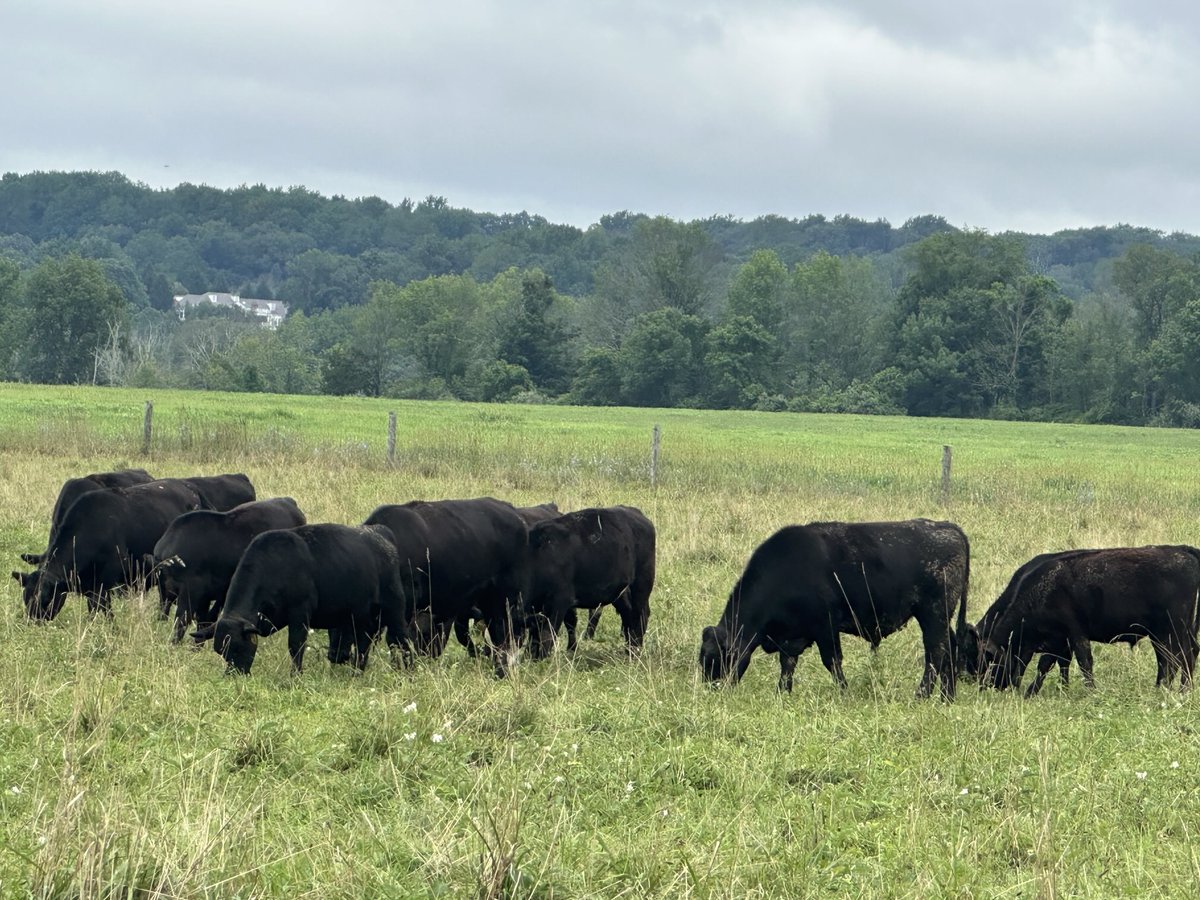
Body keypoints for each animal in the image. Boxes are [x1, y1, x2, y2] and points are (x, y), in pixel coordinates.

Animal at [11, 479, 208, 620]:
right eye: (25, 598)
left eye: (45, 599)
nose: (33, 621)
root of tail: (188, 487)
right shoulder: (90, 586)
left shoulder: (105, 582)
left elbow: (103, 609)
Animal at [192, 523, 411, 675]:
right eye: (221, 652)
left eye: (237, 648)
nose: (233, 675)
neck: (275, 566)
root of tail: (381, 535)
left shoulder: (300, 613)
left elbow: (296, 646)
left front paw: (295, 676)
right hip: (361, 618)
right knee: (364, 646)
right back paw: (357, 674)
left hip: (394, 609)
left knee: (401, 641)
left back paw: (409, 673)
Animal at [524, 506, 655, 660]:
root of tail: (636, 513)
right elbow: (535, 634)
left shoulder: (559, 602)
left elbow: (547, 633)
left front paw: (541, 658)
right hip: (620, 591)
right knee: (628, 614)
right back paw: (628, 650)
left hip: (641, 585)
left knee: (639, 616)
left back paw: (634, 652)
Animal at [699, 519, 970, 700]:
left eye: (716, 658)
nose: (711, 690)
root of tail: (946, 526)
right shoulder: (792, 637)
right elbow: (787, 665)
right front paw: (782, 693)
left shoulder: (826, 627)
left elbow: (832, 662)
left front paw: (844, 693)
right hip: (940, 618)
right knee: (949, 648)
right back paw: (947, 698)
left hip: (933, 614)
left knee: (936, 653)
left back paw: (922, 695)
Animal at [966, 545, 1200, 694]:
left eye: (987, 660)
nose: (985, 686)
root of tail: (1184, 552)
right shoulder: (1057, 640)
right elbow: (1048, 664)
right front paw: (1039, 691)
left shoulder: (1074, 634)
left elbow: (1083, 662)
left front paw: (1089, 692)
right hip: (1165, 632)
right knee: (1172, 658)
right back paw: (1165, 688)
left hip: (1173, 629)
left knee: (1180, 656)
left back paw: (1181, 690)